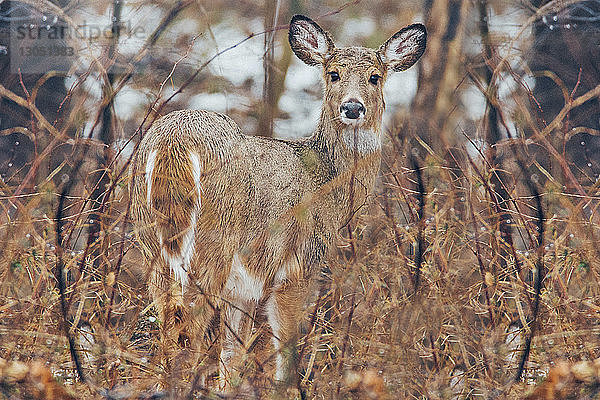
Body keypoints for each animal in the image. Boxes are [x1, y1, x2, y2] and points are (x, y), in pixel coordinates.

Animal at [130, 14, 426, 390]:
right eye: (334, 74)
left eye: (375, 76)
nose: (352, 107)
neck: (327, 181)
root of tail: (173, 143)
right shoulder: (296, 267)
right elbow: (285, 352)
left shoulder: (242, 289)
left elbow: (232, 356)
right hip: (212, 246)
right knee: (188, 330)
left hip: (150, 241)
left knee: (170, 325)